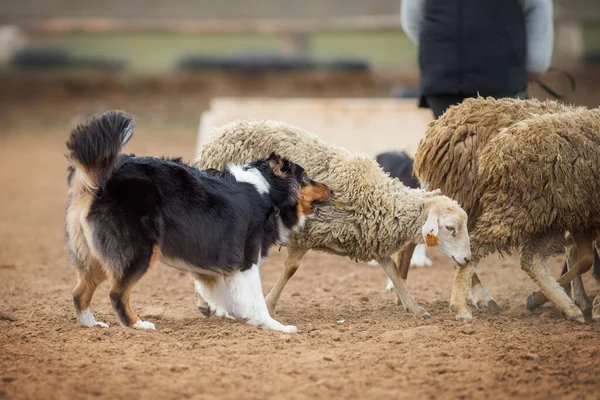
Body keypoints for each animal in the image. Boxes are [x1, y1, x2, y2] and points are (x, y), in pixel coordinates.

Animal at [64, 109, 328, 332]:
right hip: (138, 252)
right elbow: (256, 300)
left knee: (79, 293)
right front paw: (276, 326)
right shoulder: (246, 261)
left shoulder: (209, 269)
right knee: (116, 293)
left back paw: (92, 324)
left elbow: (227, 297)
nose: (331, 189)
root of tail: (102, 179)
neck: (268, 192)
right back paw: (138, 325)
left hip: (96, 257)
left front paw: (234, 315)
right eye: (305, 177)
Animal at [195, 119, 472, 318]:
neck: (381, 200)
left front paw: (414, 308)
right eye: (450, 227)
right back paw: (208, 304)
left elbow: (393, 272)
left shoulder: (371, 236)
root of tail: (217, 135)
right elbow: (291, 269)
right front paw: (269, 304)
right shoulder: (307, 233)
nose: (467, 259)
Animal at [414, 98, 600, 324]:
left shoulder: (583, 215)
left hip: (545, 212)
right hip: (503, 204)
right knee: (469, 248)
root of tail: (439, 126)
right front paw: (594, 305)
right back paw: (472, 303)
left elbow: (583, 257)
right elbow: (584, 258)